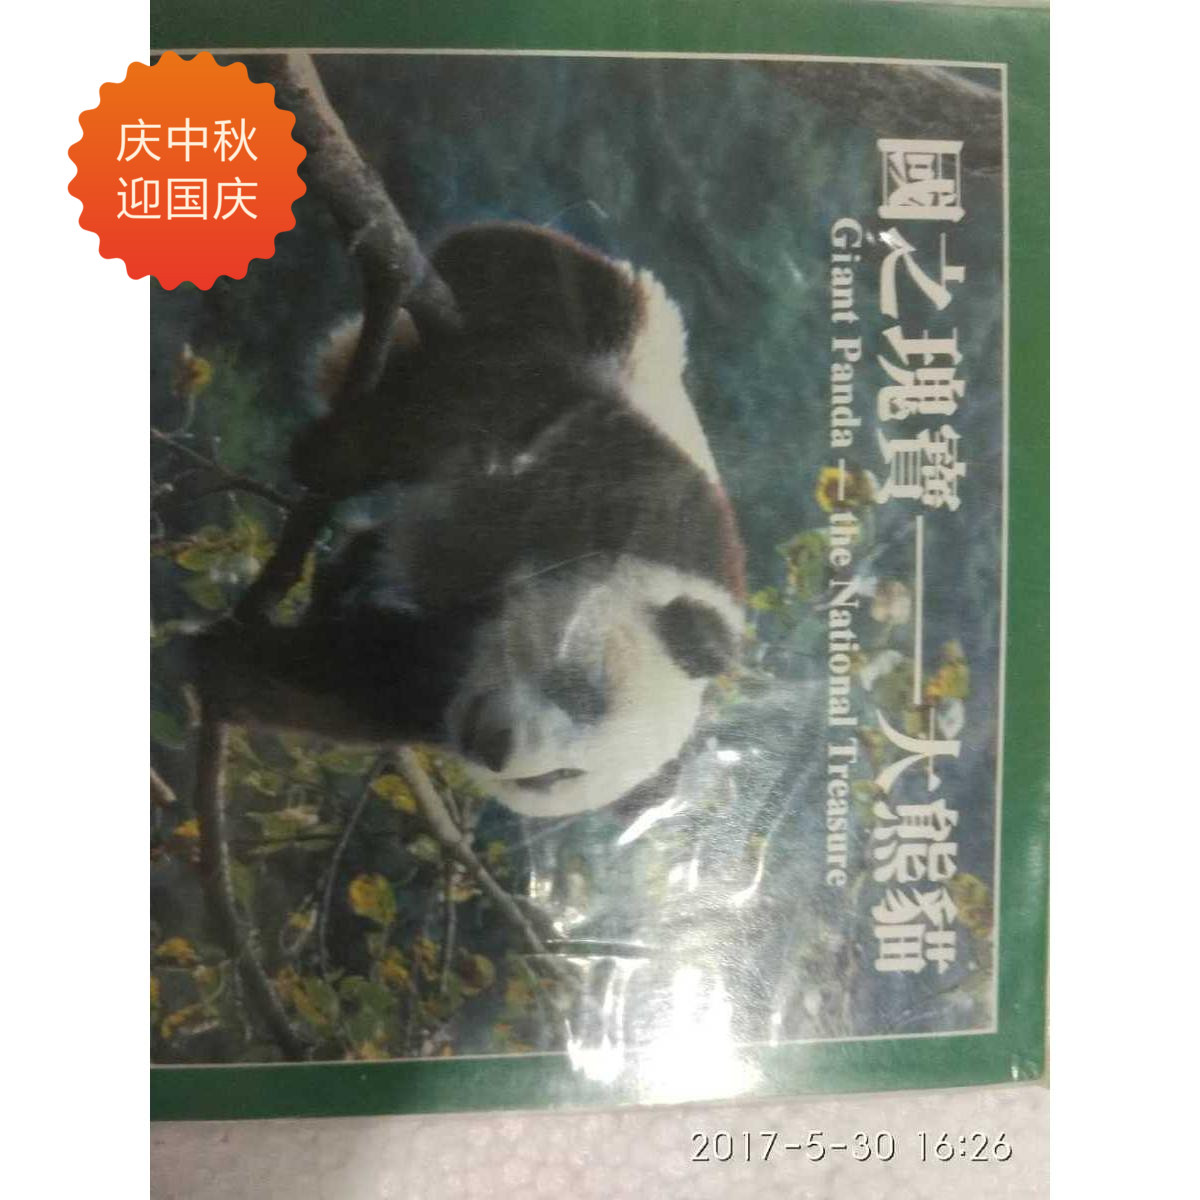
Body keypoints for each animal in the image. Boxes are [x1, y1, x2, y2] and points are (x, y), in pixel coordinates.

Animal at [195, 223, 746, 819]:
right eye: (579, 692)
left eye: (558, 777)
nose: (498, 748)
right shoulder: (639, 504)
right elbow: (505, 406)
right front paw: (337, 455)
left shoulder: (446, 676)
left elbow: (363, 684)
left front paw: (219, 668)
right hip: (620, 332)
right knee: (519, 271)